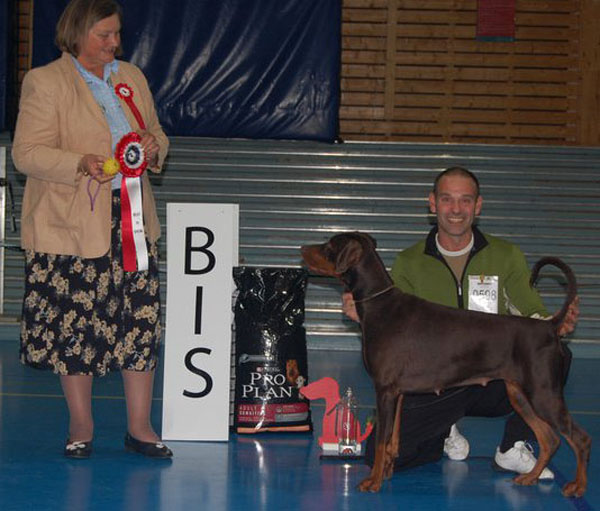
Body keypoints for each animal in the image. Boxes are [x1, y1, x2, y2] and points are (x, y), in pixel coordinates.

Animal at [300, 232, 592, 496]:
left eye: (329, 245)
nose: (302, 248)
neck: (378, 304)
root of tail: (550, 326)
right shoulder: (398, 394)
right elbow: (393, 439)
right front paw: (386, 472)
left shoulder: (384, 390)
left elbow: (382, 440)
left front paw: (373, 481)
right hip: (519, 394)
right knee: (550, 438)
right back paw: (530, 477)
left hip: (543, 394)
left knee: (580, 438)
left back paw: (577, 486)